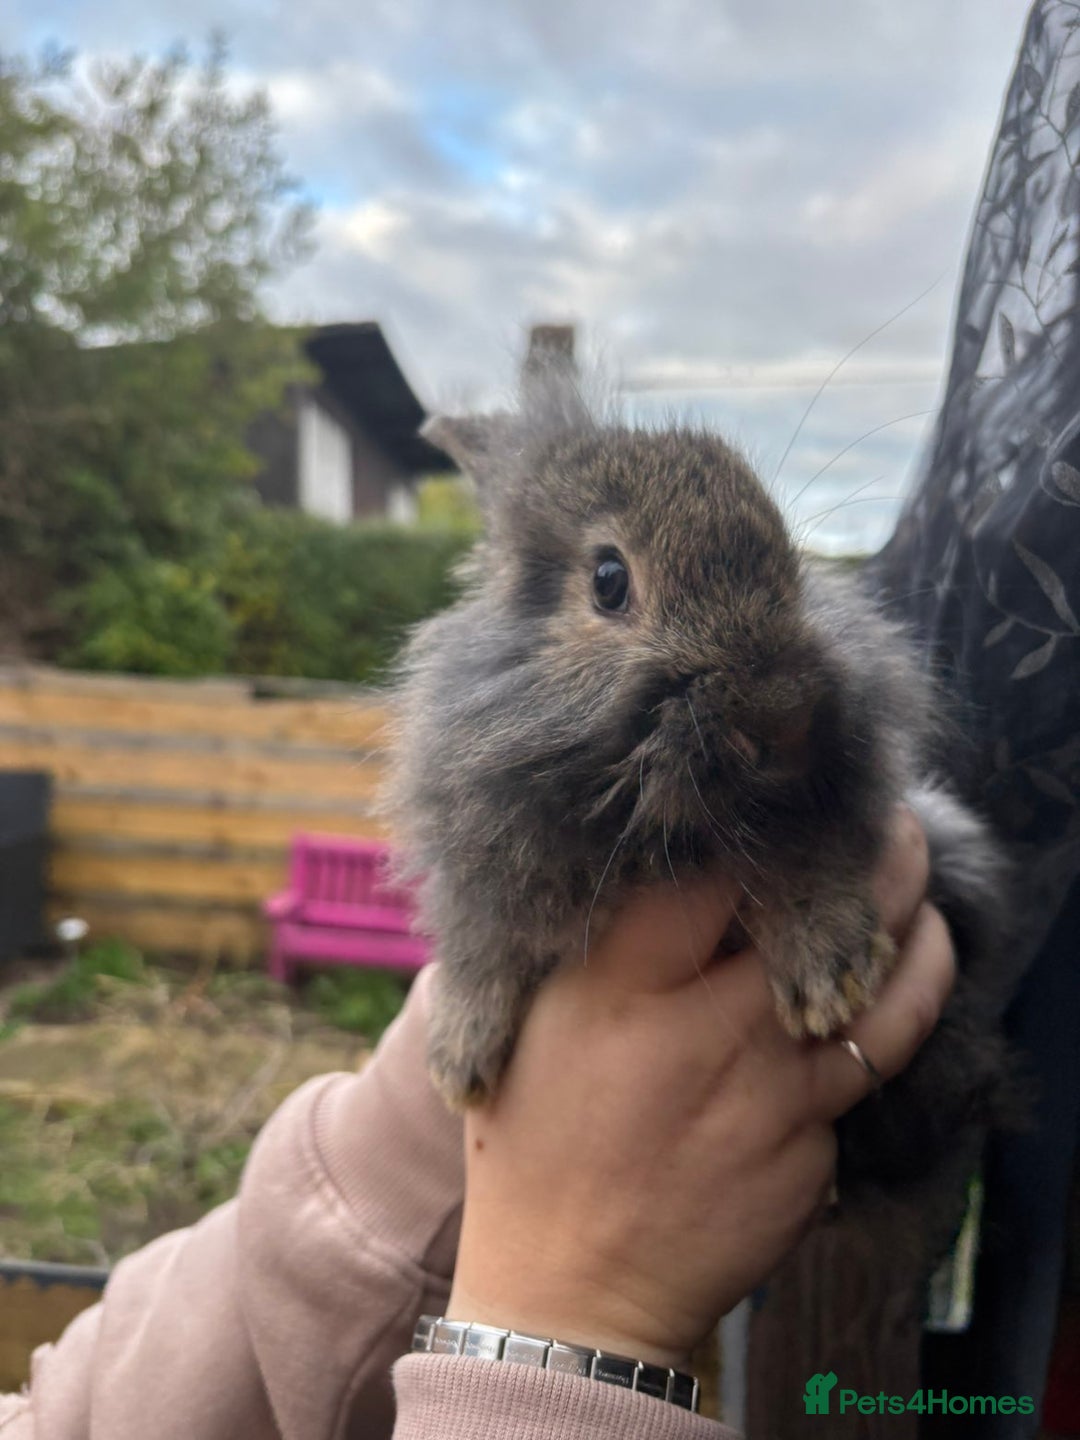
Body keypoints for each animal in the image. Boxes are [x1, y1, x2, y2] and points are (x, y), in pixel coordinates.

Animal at [385, 376, 1017, 1232]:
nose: (783, 716)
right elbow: (482, 942)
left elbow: (805, 854)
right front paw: (459, 1056)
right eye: (609, 580)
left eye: (789, 562)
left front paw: (830, 975)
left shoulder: (825, 806)